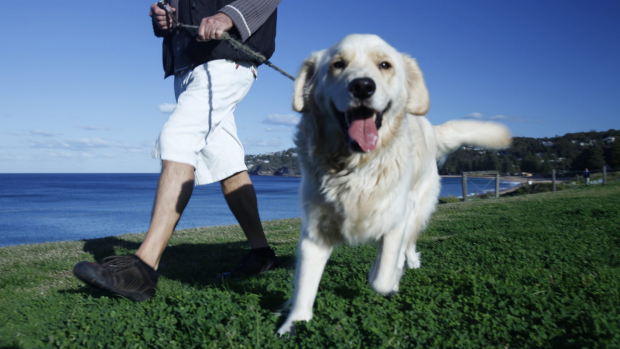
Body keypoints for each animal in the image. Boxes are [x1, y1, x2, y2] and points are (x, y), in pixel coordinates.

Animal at [278, 34, 512, 334]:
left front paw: (387, 277)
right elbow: (304, 285)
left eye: (385, 65)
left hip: (417, 205)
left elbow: (382, 277)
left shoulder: (395, 219)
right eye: (338, 64)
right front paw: (292, 324)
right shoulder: (316, 230)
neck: (356, 166)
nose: (362, 86)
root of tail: (430, 128)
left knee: (408, 241)